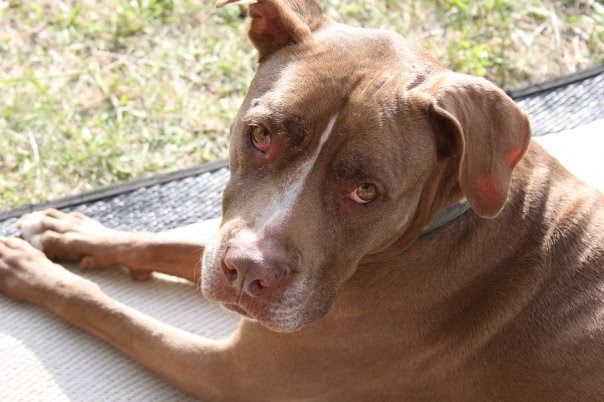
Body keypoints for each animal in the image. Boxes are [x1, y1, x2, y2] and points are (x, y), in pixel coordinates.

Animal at [1, 1, 604, 400]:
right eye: (260, 135)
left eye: (366, 191)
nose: (248, 273)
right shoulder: (226, 244)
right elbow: (165, 243)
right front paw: (67, 233)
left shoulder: (231, 374)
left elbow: (104, 308)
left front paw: (29, 270)